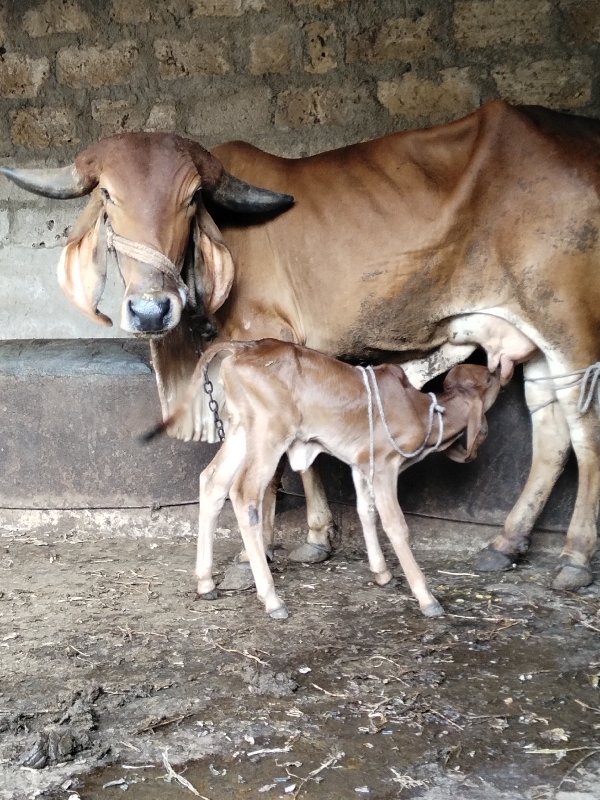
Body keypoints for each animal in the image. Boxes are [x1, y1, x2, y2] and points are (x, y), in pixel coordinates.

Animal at [2, 100, 596, 592]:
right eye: (107, 195)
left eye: (192, 199)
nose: (151, 310)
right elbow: (303, 453)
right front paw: (316, 537)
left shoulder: (262, 339)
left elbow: (272, 467)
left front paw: (255, 557)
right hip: (535, 339)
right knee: (551, 430)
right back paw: (506, 543)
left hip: (570, 324)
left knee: (584, 430)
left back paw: (574, 558)